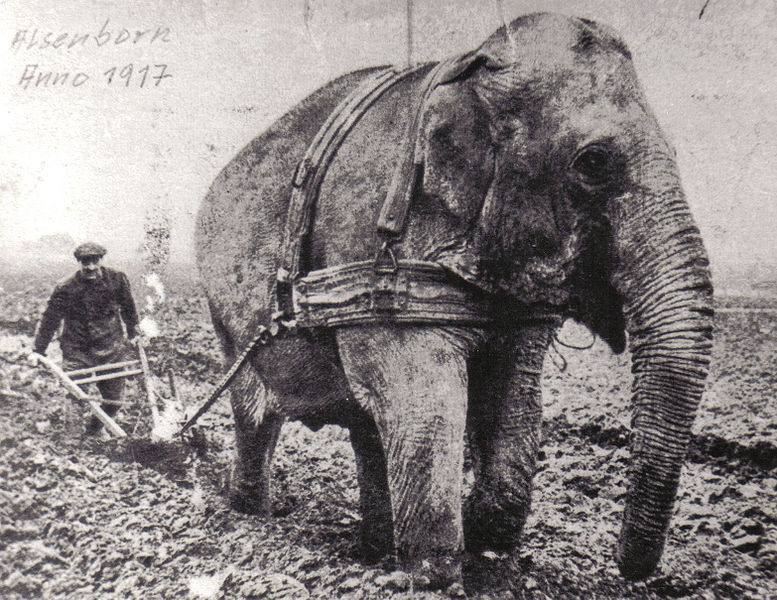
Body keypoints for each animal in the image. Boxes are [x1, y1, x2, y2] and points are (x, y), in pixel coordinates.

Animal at [195, 12, 713, 589]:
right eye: (593, 162)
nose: (630, 572)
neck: (474, 67)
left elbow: (515, 401)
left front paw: (492, 559)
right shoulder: (378, 260)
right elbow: (427, 405)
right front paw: (437, 580)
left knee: (366, 427)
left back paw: (373, 554)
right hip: (224, 314)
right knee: (255, 411)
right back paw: (254, 518)